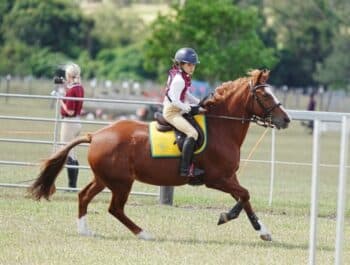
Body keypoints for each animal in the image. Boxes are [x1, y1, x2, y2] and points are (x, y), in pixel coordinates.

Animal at [28, 69, 290, 240]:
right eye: (265, 95)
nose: (286, 120)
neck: (221, 126)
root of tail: (96, 135)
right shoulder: (216, 179)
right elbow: (244, 195)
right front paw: (232, 218)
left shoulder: (229, 177)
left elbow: (244, 198)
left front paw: (257, 229)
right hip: (121, 183)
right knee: (115, 208)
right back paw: (143, 233)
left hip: (105, 179)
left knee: (84, 196)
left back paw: (85, 231)